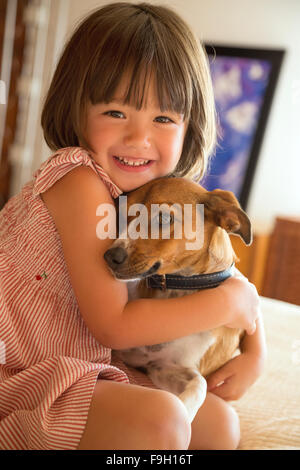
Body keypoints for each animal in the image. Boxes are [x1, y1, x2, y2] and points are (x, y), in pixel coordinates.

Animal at [103, 176, 251, 422]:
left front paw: (185, 412)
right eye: (122, 215)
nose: (109, 256)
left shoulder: (162, 367)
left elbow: (200, 385)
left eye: (163, 218)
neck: (176, 289)